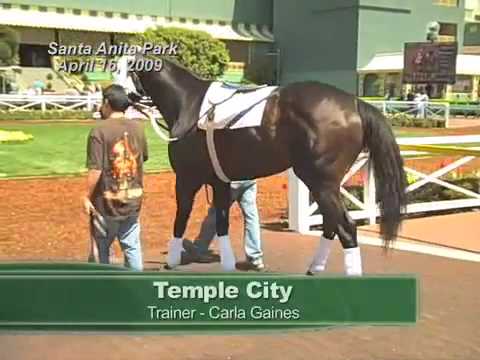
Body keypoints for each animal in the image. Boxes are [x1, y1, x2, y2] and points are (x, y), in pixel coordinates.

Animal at [125, 57, 406, 274]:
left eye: (123, 67)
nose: (116, 98)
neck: (190, 105)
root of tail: (355, 104)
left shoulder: (186, 178)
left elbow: (181, 218)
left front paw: (171, 261)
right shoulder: (220, 181)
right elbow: (221, 223)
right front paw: (227, 264)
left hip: (321, 182)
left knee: (346, 229)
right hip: (325, 184)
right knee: (331, 224)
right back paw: (314, 268)